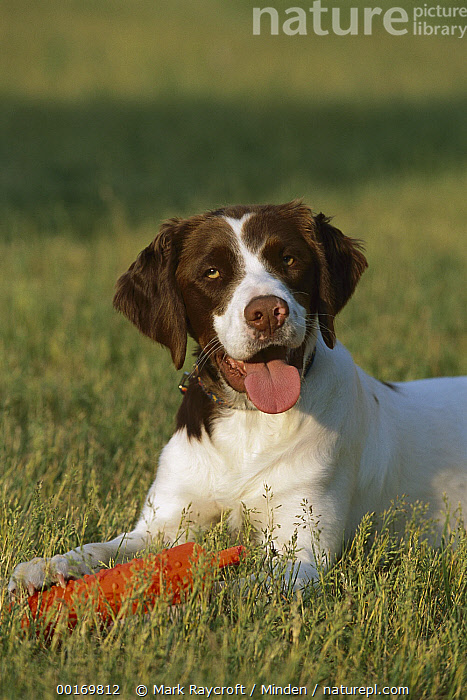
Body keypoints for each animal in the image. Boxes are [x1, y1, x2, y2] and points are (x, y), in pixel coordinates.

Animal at [8, 202, 467, 596]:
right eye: (212, 271)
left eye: (290, 260)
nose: (267, 312)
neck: (250, 421)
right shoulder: (165, 522)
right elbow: (103, 548)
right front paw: (45, 567)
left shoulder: (303, 553)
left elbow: (233, 587)